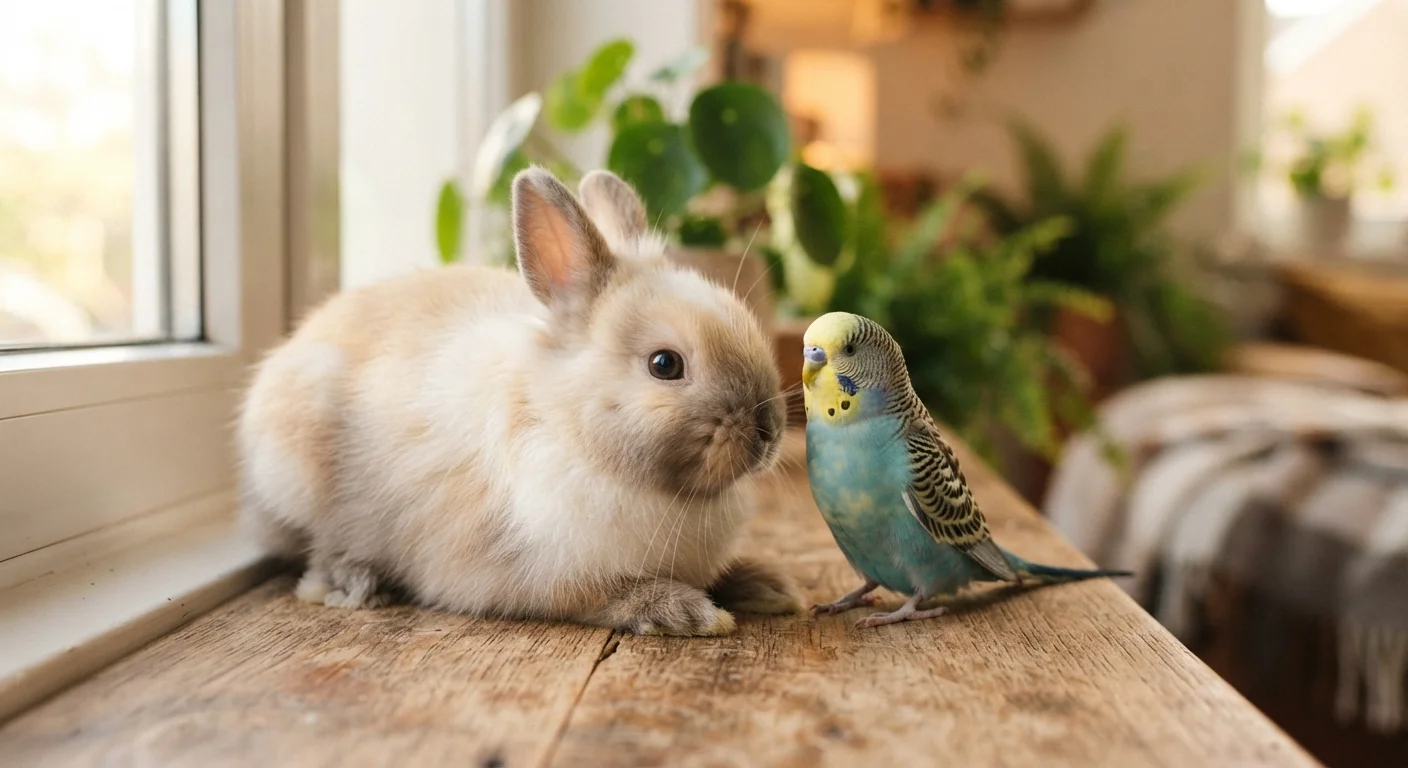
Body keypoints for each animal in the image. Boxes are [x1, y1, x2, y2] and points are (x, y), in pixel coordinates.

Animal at [237, 167, 800, 636]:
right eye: (665, 364)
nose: (769, 431)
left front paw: (768, 586)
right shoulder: (530, 572)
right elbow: (603, 594)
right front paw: (686, 612)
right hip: (296, 472)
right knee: (317, 548)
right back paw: (350, 583)